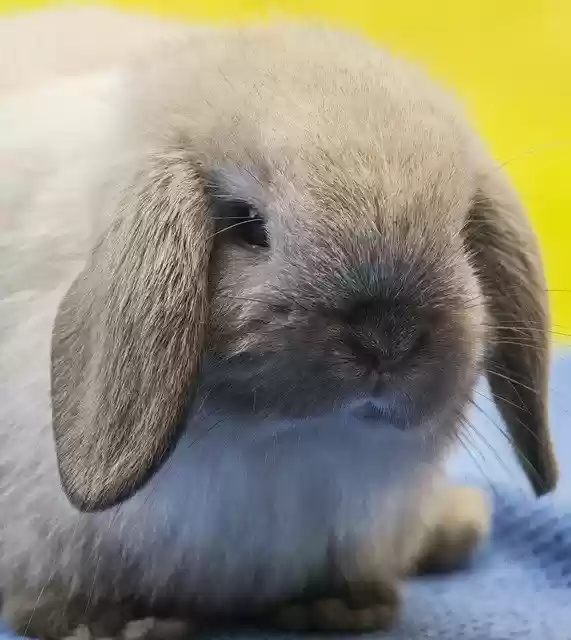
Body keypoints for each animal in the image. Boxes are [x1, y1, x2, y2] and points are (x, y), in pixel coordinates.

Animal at [0, 12, 557, 640]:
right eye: (247, 226)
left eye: (463, 234)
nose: (385, 339)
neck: (287, 450)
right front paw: (116, 624)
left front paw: (347, 609)